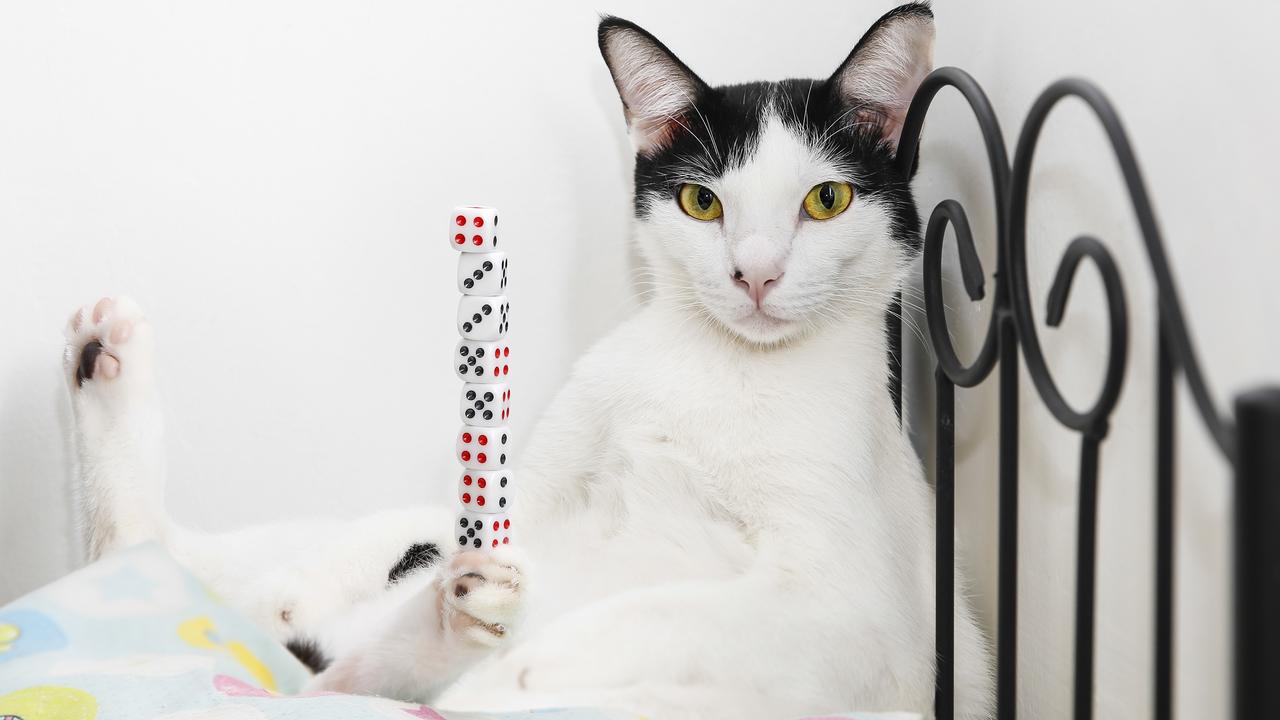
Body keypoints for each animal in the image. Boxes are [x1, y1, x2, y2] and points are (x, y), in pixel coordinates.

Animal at [60, 5, 993, 717]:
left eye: (826, 200)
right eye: (702, 201)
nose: (755, 274)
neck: (719, 366)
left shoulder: (857, 621)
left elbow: (670, 613)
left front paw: (528, 666)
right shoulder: (529, 493)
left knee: (323, 664)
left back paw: (455, 641)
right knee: (153, 555)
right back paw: (107, 362)